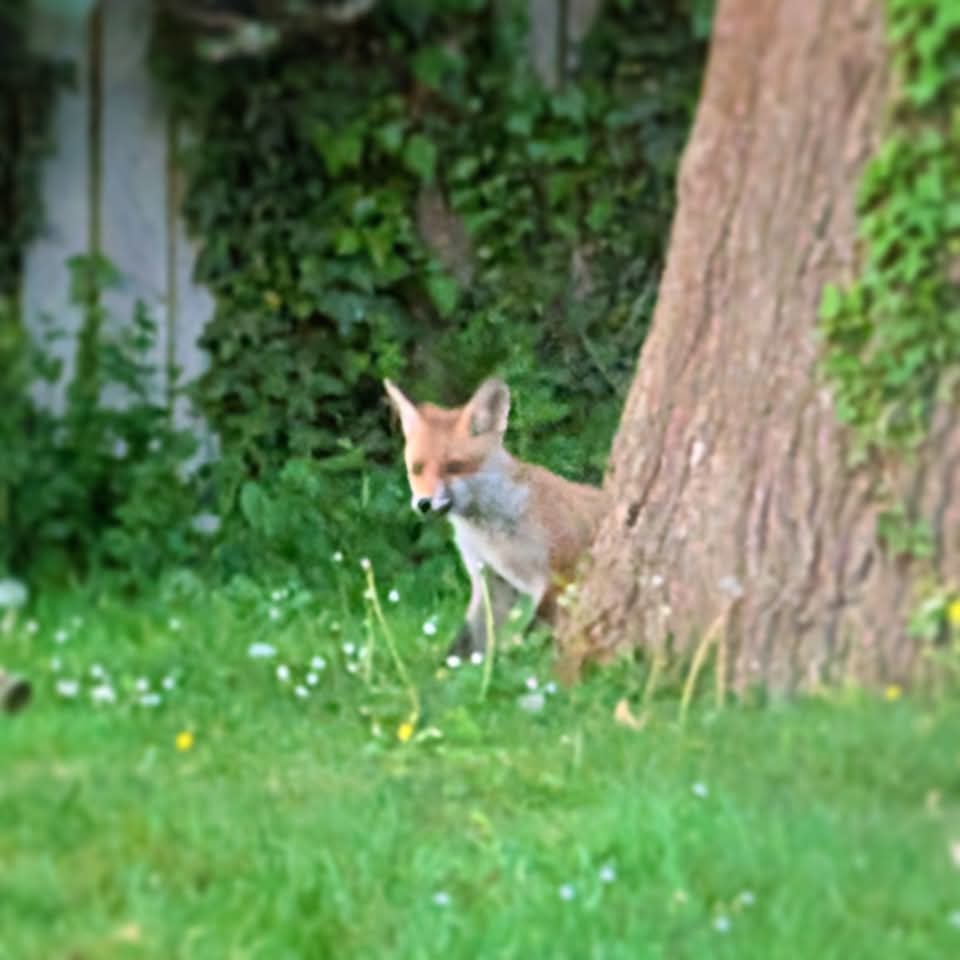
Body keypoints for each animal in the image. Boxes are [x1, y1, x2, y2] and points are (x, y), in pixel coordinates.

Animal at [384, 377, 609, 657]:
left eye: (453, 467)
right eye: (416, 468)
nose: (423, 503)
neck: (493, 535)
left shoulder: (562, 573)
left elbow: (533, 637)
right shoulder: (490, 581)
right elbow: (467, 642)